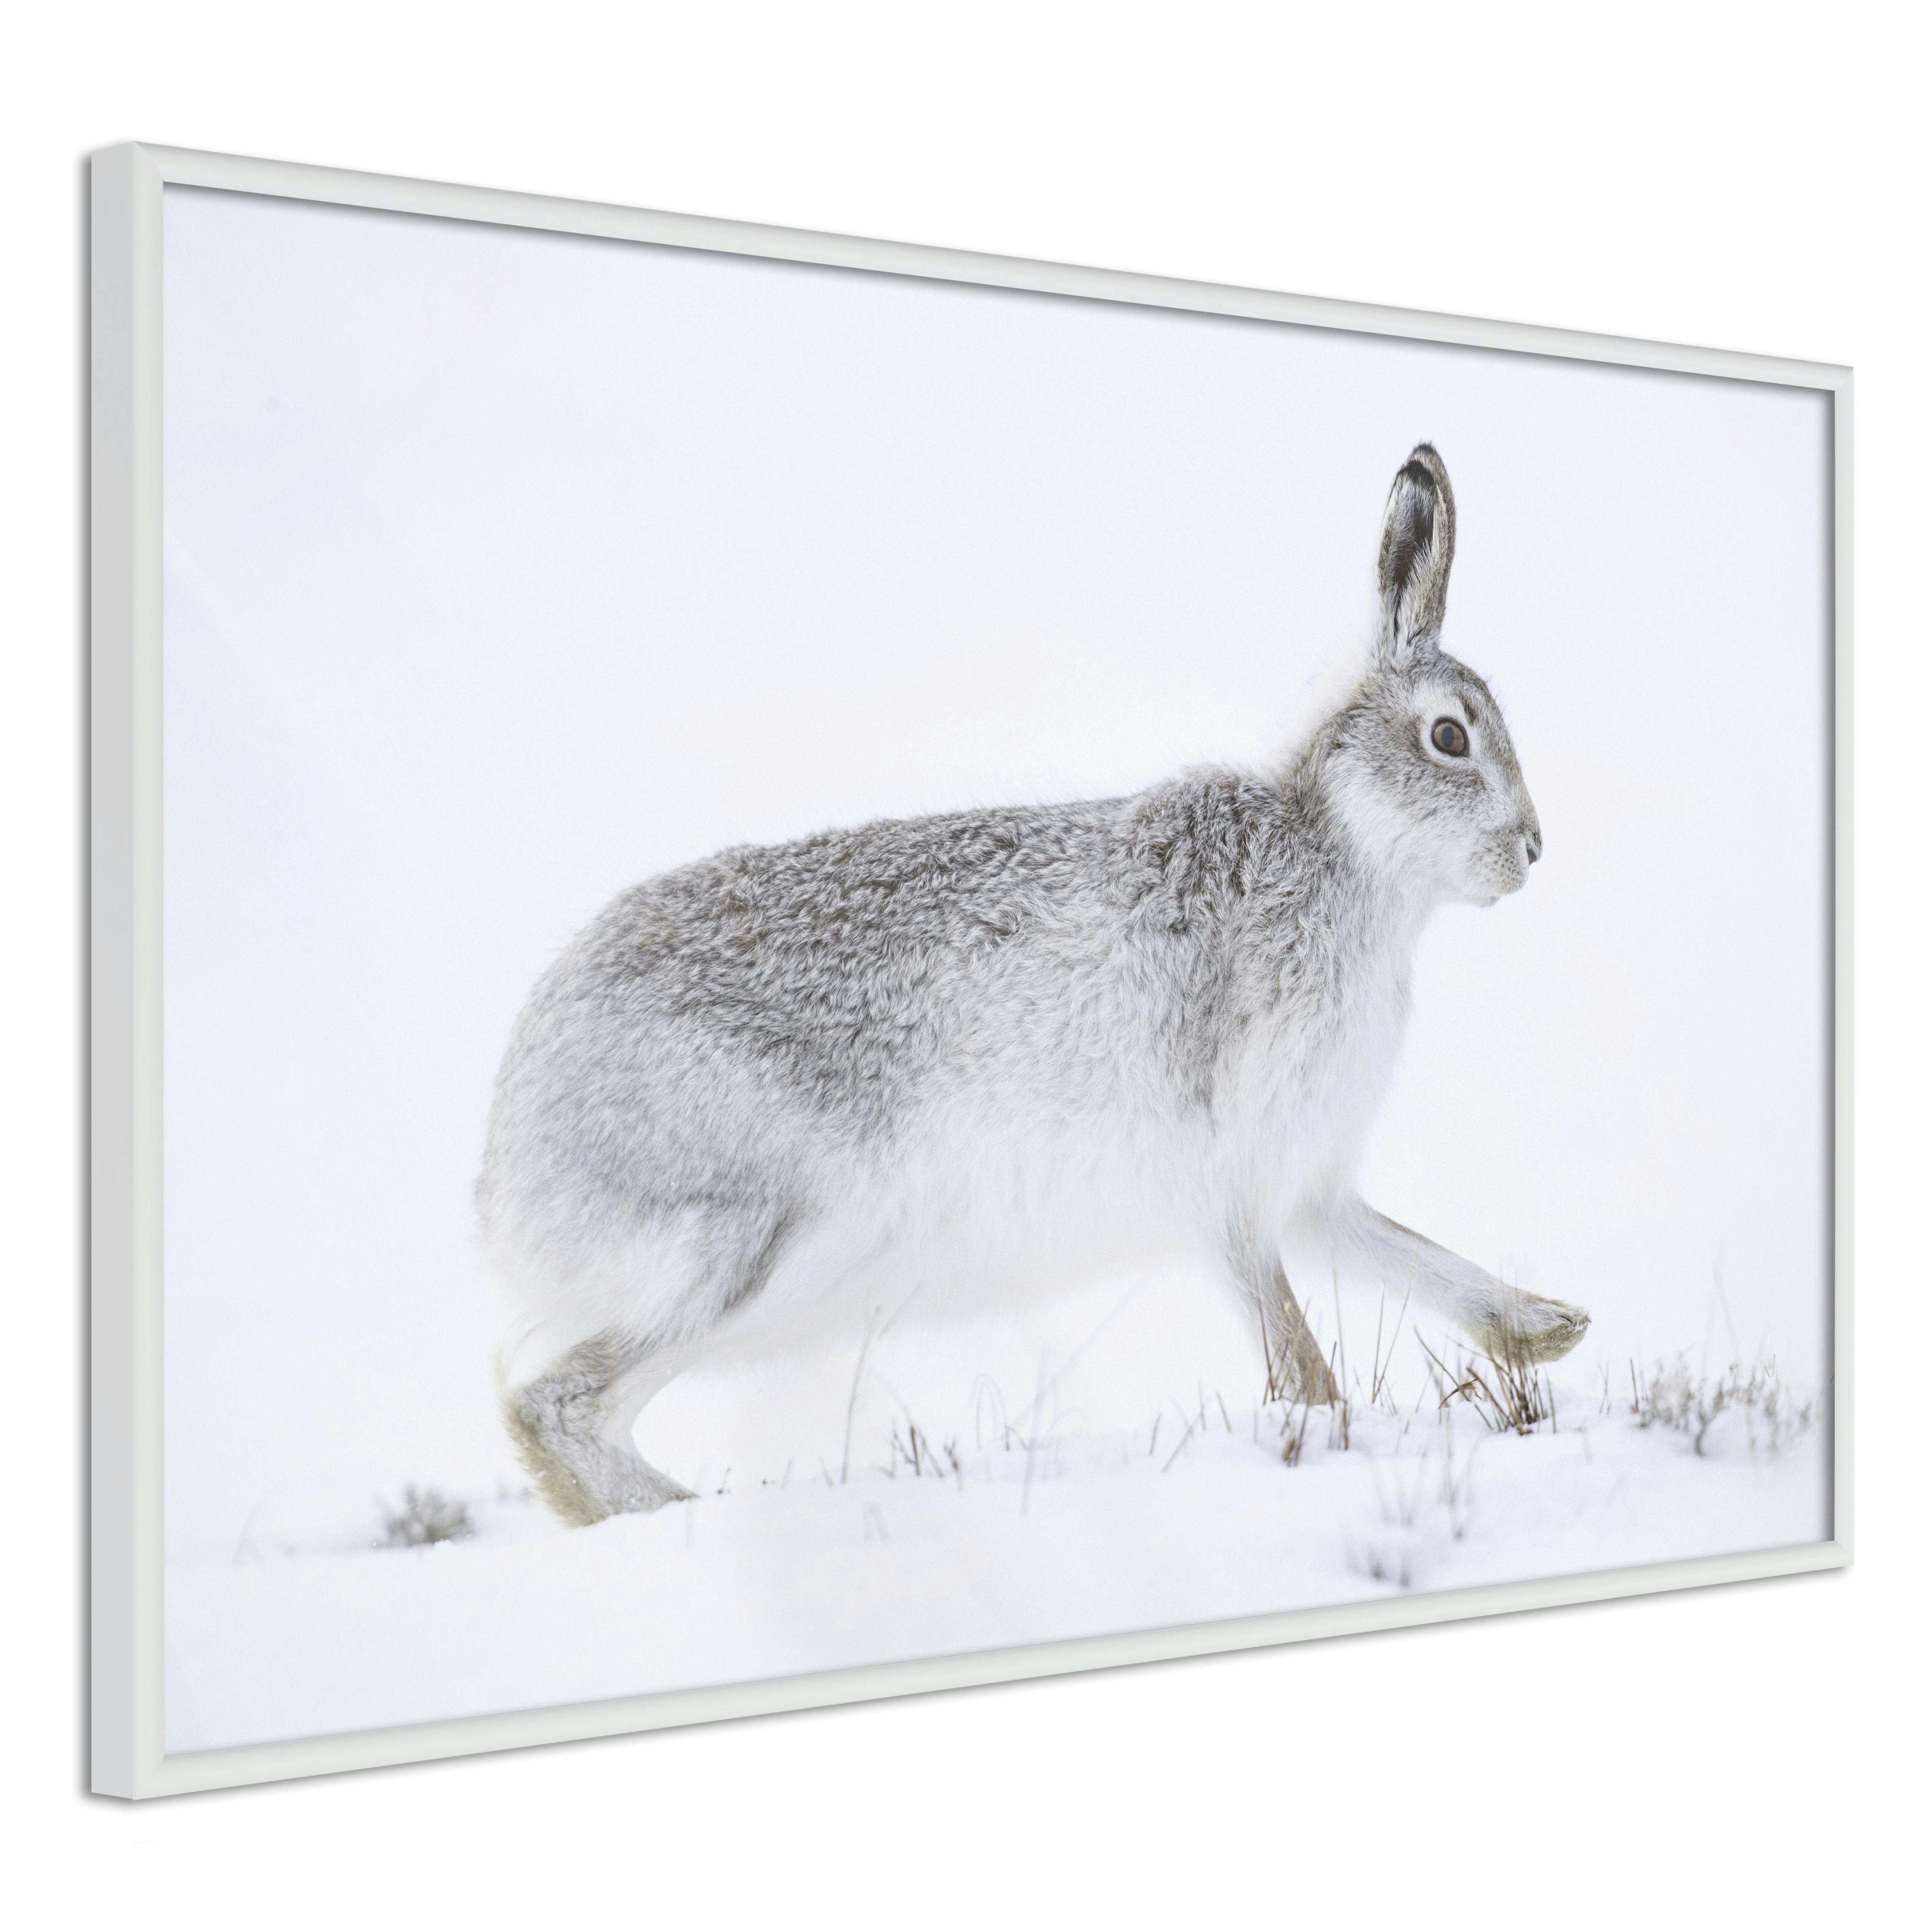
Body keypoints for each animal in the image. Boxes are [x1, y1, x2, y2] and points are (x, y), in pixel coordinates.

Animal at [478, 443, 1589, 1527]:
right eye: (1450, 737)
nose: (1534, 849)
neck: (1347, 852)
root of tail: (508, 1164)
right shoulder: (1228, 1172)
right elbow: (1292, 1345)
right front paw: (1329, 1433)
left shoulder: (1309, 1184)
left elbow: (1411, 1255)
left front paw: (1550, 1329)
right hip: (765, 1240)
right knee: (554, 1407)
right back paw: (691, 1514)